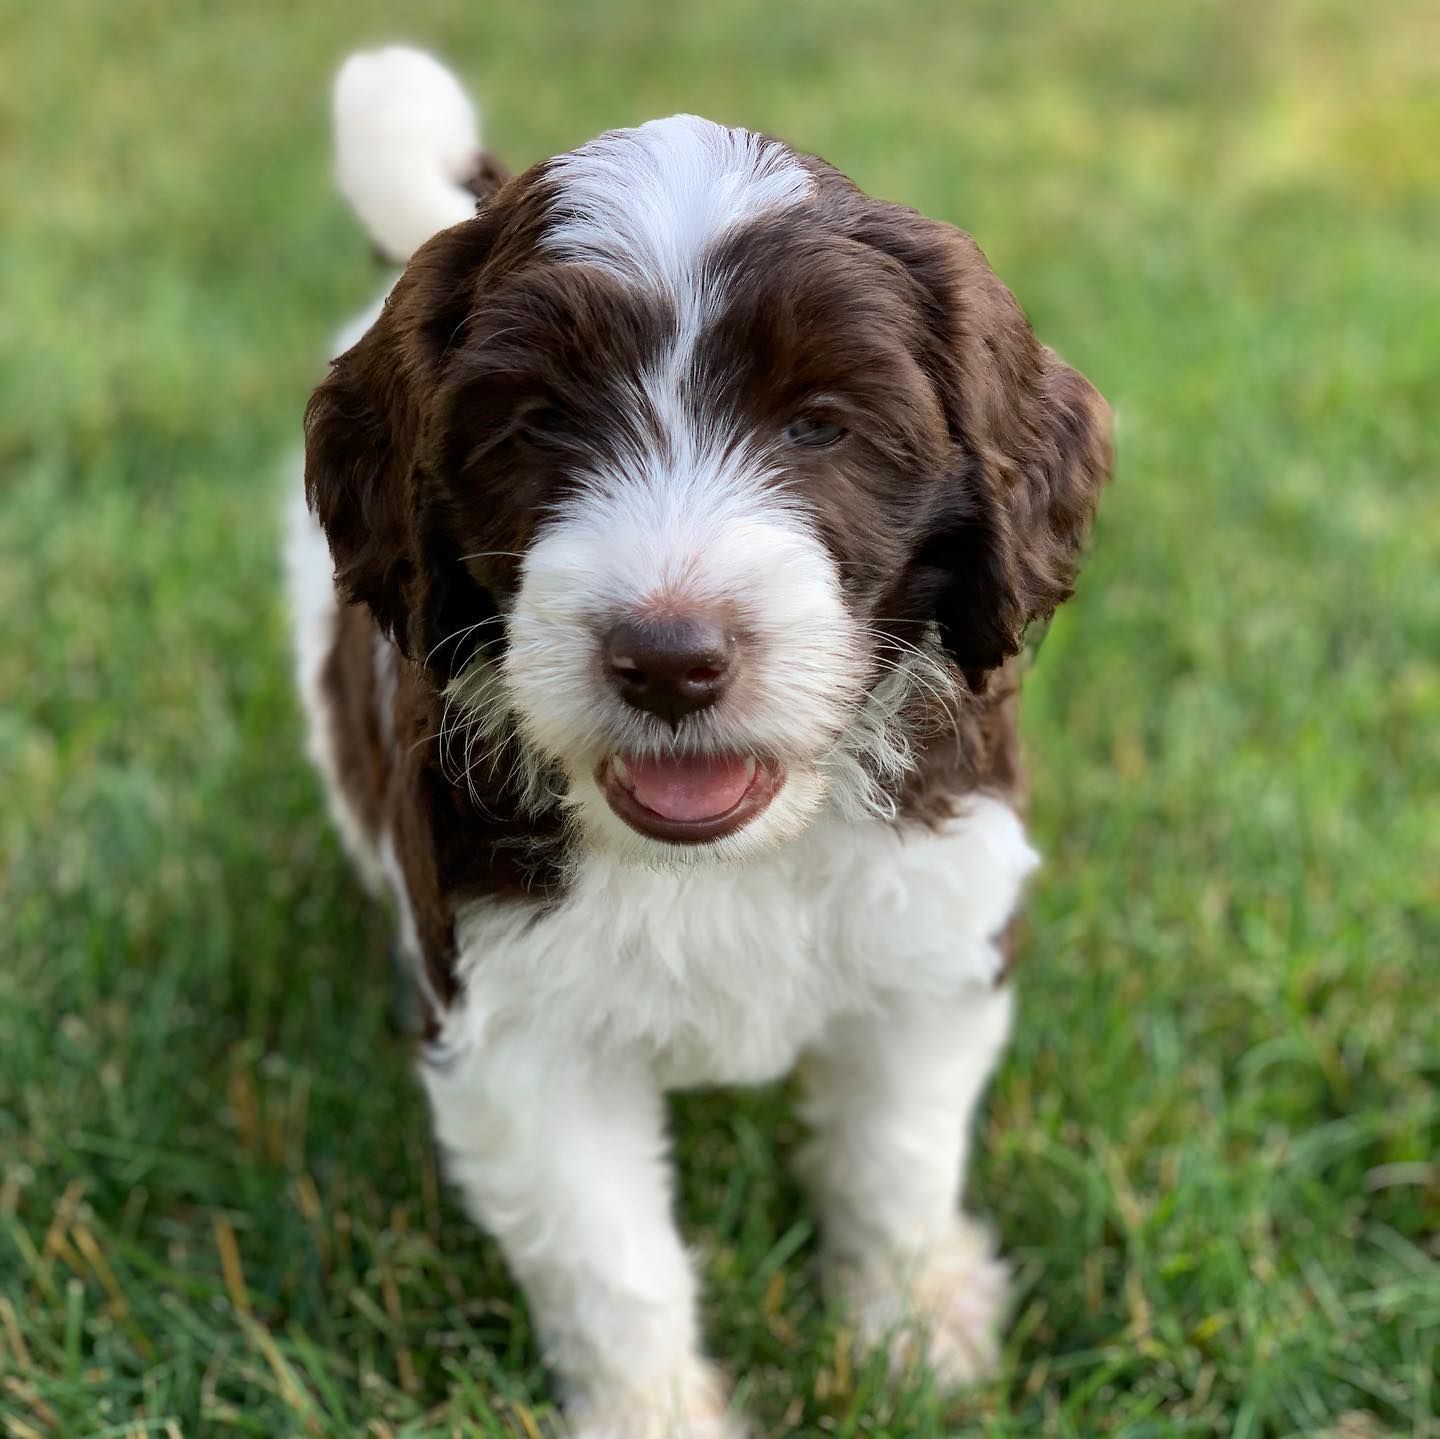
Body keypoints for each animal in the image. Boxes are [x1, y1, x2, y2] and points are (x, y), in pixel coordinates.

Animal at [283, 45, 1111, 1439]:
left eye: (819, 423)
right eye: (537, 425)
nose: (668, 658)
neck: (735, 855)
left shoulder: (936, 935)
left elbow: (895, 1157)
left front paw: (910, 1331)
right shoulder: (518, 1027)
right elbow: (609, 1256)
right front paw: (656, 1410)